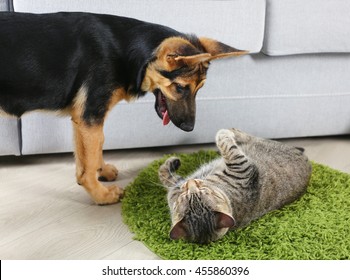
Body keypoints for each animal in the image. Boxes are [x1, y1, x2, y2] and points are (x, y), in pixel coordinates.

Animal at [0, 12, 246, 205]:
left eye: (199, 89)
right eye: (180, 87)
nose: (189, 128)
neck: (127, 49)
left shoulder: (83, 118)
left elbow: (90, 152)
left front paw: (101, 172)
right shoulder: (91, 115)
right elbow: (92, 155)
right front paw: (101, 196)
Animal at [159, 129, 312, 243]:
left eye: (204, 192)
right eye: (184, 198)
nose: (191, 183)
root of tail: (307, 160)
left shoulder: (242, 166)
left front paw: (172, 162)